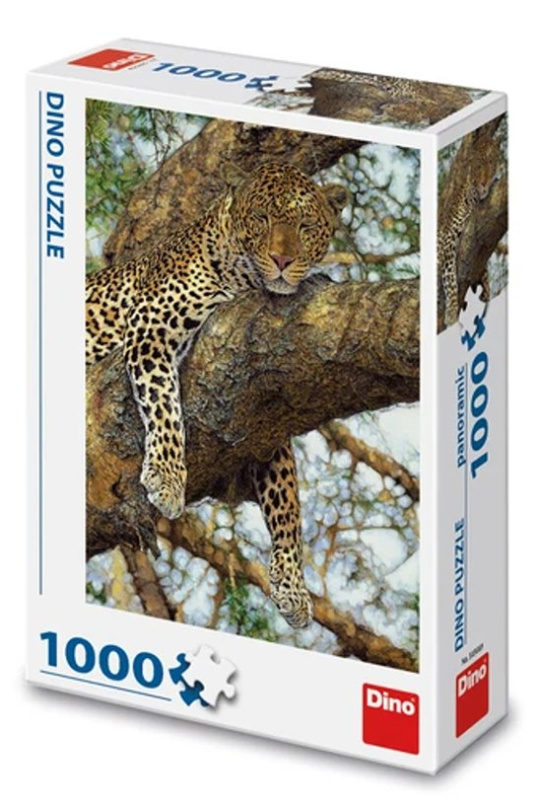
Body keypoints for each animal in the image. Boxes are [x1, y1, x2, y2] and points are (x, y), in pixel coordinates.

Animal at [86, 161, 349, 629]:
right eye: (261, 219)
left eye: (305, 226)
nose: (283, 261)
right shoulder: (150, 327)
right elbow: (165, 405)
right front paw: (167, 478)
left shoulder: (264, 418)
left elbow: (288, 499)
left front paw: (292, 587)